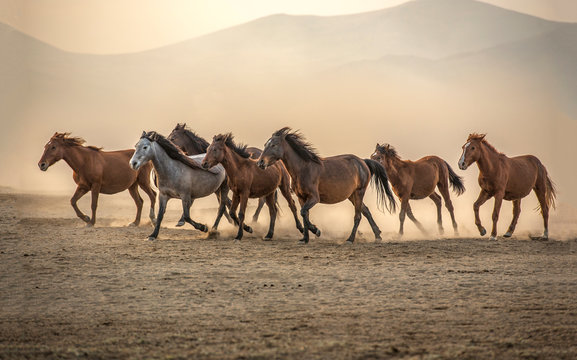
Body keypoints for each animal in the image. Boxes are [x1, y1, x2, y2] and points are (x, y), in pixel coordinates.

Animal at [256, 127, 396, 245]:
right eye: (265, 145)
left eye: (274, 145)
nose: (260, 163)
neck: (304, 168)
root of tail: (363, 162)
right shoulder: (302, 198)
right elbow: (304, 215)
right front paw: (305, 238)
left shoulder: (314, 198)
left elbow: (303, 212)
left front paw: (316, 231)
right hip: (352, 196)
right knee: (366, 211)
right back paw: (378, 235)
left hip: (359, 193)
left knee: (358, 216)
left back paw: (350, 239)